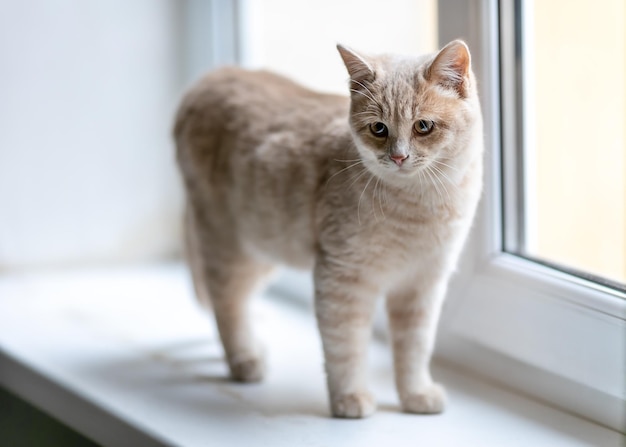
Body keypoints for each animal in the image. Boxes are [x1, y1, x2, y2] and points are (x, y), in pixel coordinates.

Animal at [173, 40, 486, 418]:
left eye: (423, 126)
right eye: (378, 129)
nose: (398, 157)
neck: (419, 205)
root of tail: (215, 75)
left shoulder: (422, 286)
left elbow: (414, 347)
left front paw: (415, 394)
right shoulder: (341, 278)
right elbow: (345, 345)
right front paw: (349, 399)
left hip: (264, 248)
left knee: (239, 299)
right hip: (229, 244)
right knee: (227, 303)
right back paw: (245, 359)